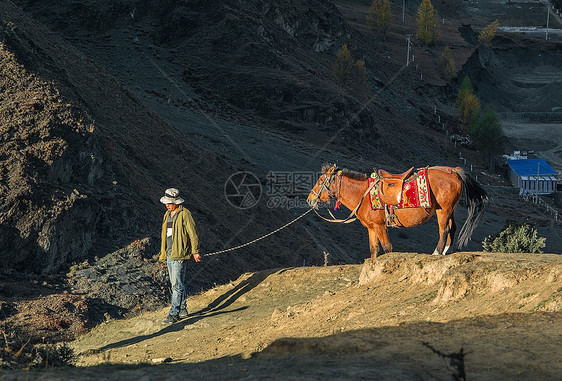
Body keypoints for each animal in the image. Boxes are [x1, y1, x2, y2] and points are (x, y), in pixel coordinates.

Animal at [306, 162, 486, 256]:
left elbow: (387, 248)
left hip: (443, 210)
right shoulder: (371, 228)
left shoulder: (380, 226)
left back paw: (436, 252)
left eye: (320, 181)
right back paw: (446, 252)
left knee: (444, 230)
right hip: (450, 210)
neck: (363, 195)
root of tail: (454, 171)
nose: (310, 199)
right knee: (452, 229)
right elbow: (374, 250)